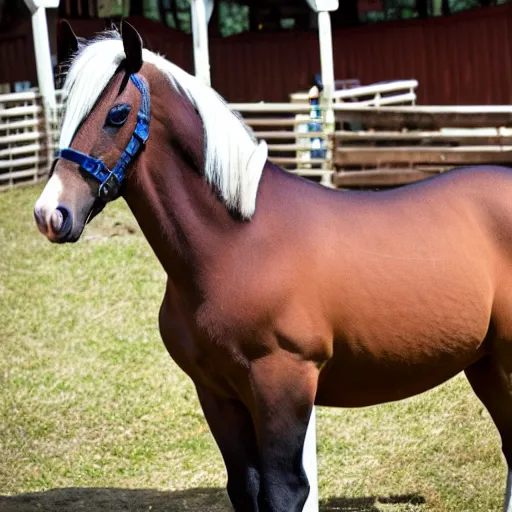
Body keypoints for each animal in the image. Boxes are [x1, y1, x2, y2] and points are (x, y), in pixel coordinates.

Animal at [35, 23, 512, 512]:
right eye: (66, 111)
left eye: (118, 113)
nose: (52, 214)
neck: (236, 245)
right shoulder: (217, 392)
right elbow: (244, 486)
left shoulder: (284, 384)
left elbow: (286, 489)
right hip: (486, 363)